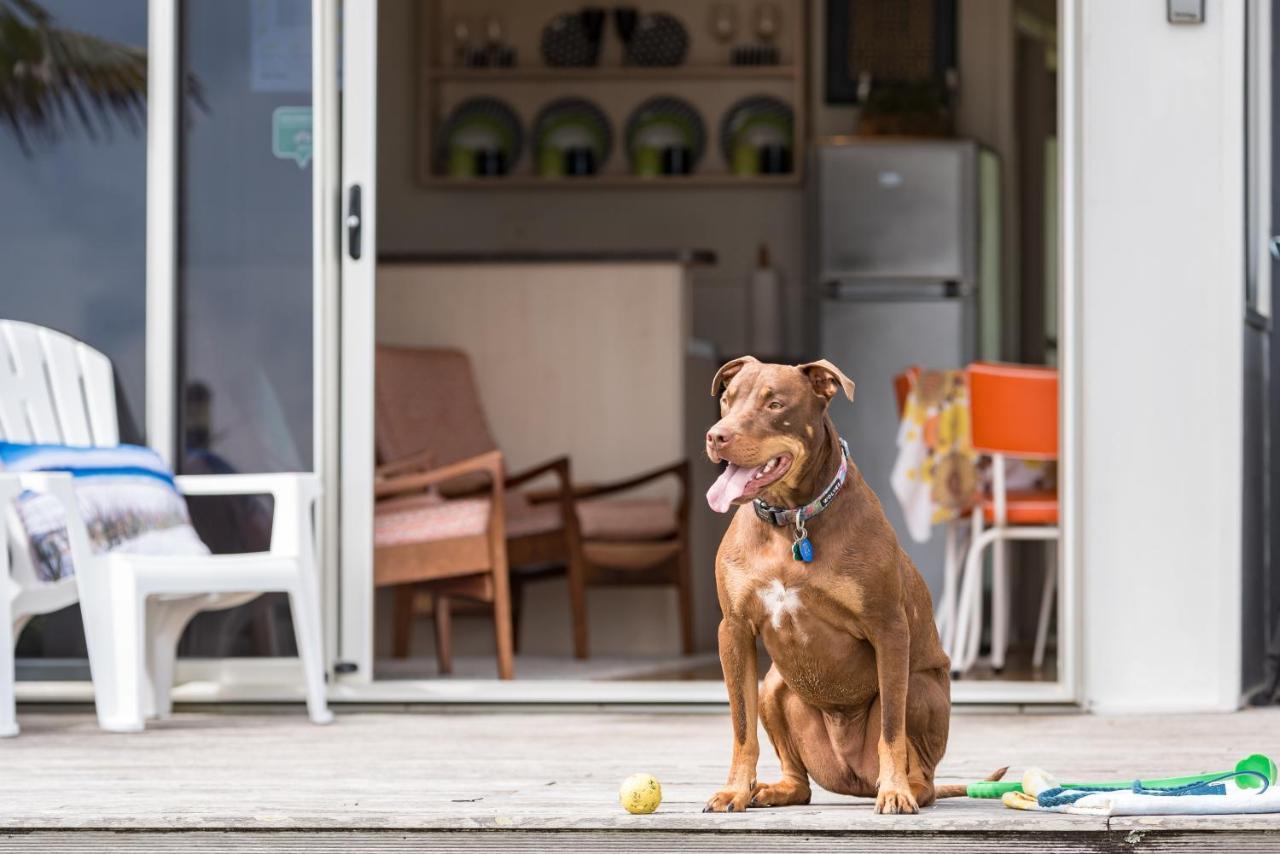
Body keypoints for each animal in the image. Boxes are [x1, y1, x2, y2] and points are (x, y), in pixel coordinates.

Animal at [701, 353, 967, 814]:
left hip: (919, 687)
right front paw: (735, 790)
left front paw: (895, 791)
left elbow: (891, 731)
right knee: (801, 782)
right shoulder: (733, 629)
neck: (792, 520)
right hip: (774, 687)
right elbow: (741, 728)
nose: (717, 436)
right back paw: (772, 790)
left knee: (922, 770)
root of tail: (853, 777)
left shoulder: (889, 628)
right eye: (727, 400)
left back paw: (906, 788)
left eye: (775, 404)